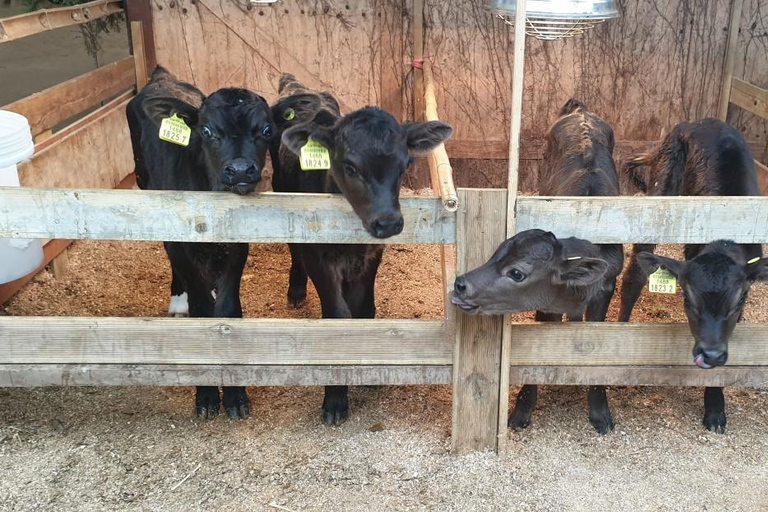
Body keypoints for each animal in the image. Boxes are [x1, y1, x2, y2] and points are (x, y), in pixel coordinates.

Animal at [126, 66, 319, 420]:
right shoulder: (183, 244)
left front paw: (235, 394)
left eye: (267, 129)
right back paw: (178, 301)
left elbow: (228, 310)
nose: (240, 170)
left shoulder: (237, 244)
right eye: (206, 130)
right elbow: (201, 310)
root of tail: (160, 76)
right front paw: (205, 395)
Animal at [270, 73, 453, 425]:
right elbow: (338, 315)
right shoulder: (319, 258)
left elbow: (364, 309)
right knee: (293, 247)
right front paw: (335, 397)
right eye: (350, 167)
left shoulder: (369, 256)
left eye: (405, 164)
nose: (389, 222)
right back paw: (296, 289)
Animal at [451, 99, 624, 434]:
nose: (460, 283)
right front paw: (522, 409)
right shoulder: (546, 306)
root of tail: (580, 110)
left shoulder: (605, 290)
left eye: (517, 272)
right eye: (495, 253)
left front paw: (600, 411)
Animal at [619, 117, 767, 433]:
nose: (711, 354)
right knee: (634, 275)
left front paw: (715, 406)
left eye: (739, 302)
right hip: (661, 193)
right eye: (688, 300)